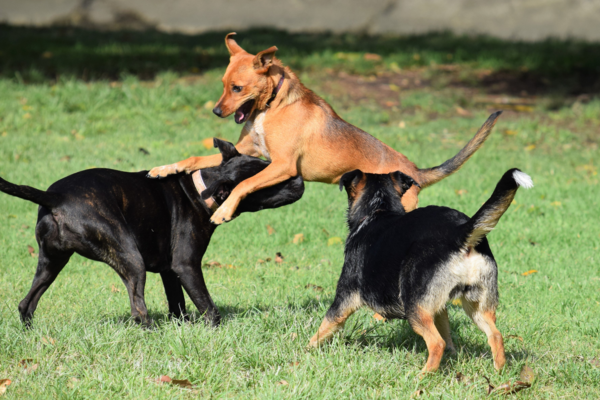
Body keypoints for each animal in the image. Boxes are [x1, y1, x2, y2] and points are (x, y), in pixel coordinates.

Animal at [0, 139, 302, 326]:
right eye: (269, 181)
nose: (299, 177)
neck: (200, 189)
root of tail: (55, 196)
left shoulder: (170, 272)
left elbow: (178, 305)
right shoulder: (186, 265)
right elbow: (208, 306)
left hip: (51, 263)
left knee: (26, 303)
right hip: (130, 259)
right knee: (138, 310)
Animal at [150, 32, 502, 223]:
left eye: (237, 88)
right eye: (223, 84)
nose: (216, 110)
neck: (273, 105)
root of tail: (415, 171)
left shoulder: (282, 165)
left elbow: (242, 185)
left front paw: (223, 211)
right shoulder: (244, 151)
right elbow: (194, 159)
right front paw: (164, 168)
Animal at [310, 166, 536, 372]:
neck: (378, 210)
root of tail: (459, 232)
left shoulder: (344, 299)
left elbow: (324, 327)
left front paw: (307, 351)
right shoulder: (438, 306)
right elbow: (447, 332)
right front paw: (453, 355)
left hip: (414, 305)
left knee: (436, 343)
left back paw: (422, 377)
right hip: (477, 305)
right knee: (495, 335)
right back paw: (498, 373)